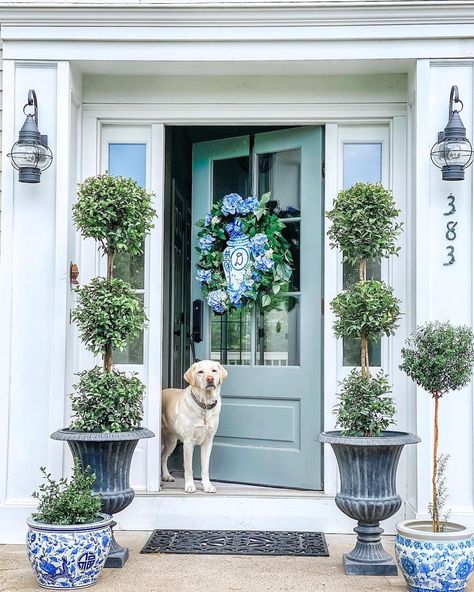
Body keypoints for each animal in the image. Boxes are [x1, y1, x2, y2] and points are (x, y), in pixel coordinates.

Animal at [161, 360, 228, 494]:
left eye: (214, 370)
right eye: (200, 372)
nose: (210, 379)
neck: (205, 405)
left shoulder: (208, 442)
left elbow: (205, 468)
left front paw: (207, 485)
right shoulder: (188, 442)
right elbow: (188, 468)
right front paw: (190, 486)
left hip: (171, 441)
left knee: (163, 457)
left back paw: (166, 476)